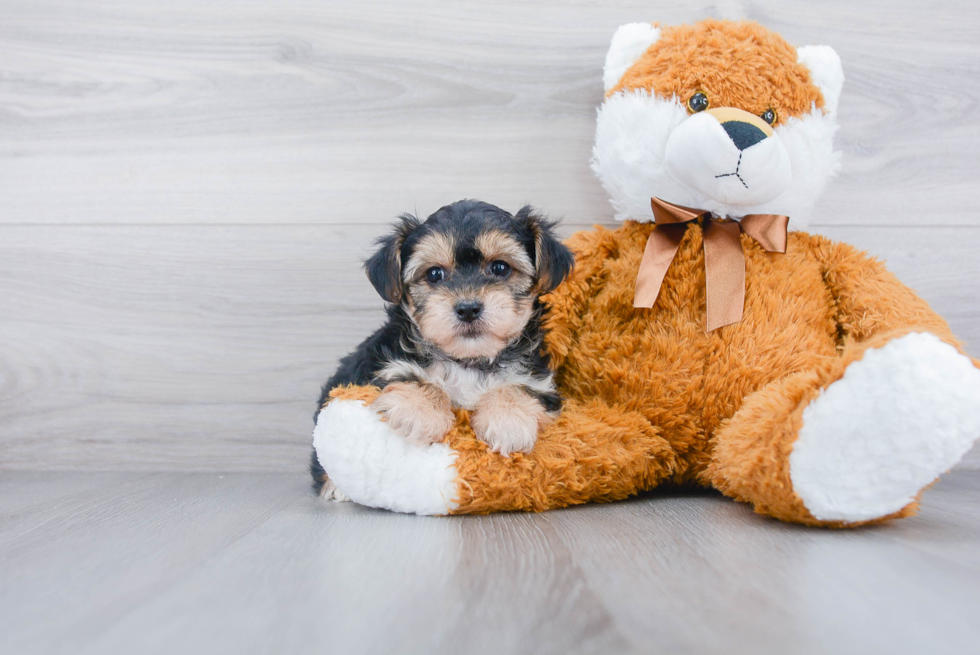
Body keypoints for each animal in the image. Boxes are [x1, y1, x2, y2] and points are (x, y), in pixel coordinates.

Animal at [310, 200, 576, 498]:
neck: (468, 361)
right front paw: (418, 413)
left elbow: (518, 388)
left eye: (500, 268)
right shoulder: (380, 365)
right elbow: (412, 377)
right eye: (435, 274)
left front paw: (508, 422)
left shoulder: (539, 381)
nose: (468, 308)